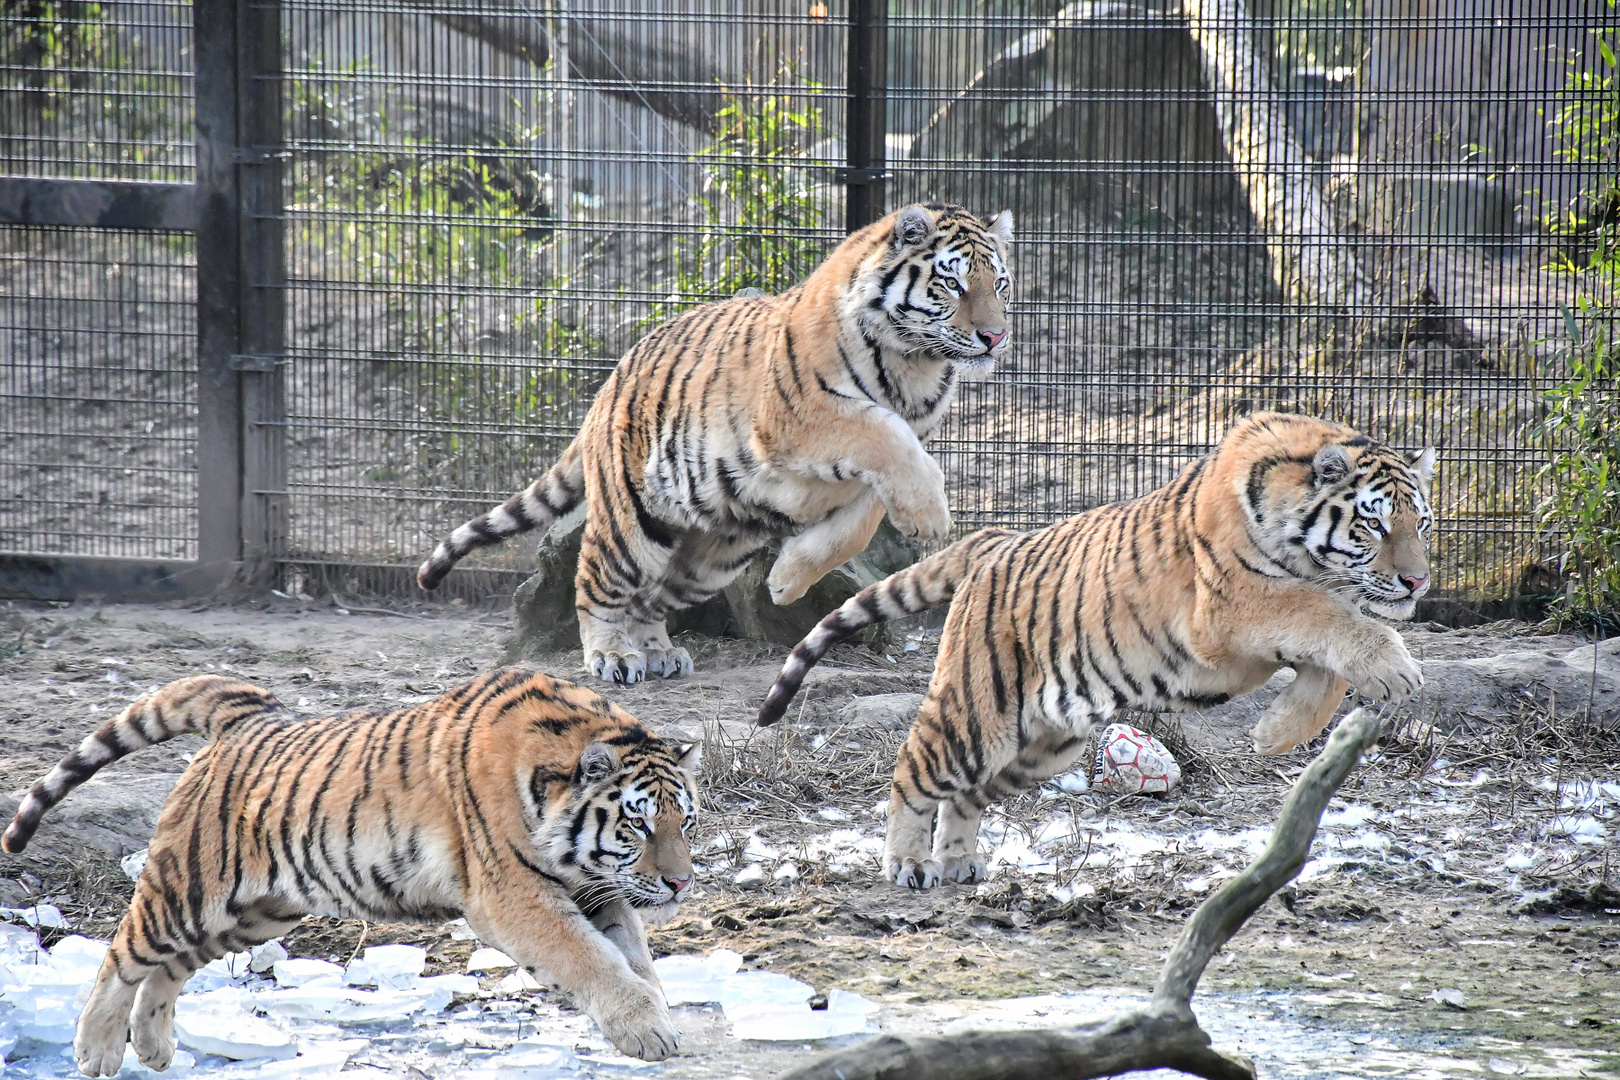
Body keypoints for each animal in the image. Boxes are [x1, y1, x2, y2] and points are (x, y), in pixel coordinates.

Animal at [6, 667, 703, 1075]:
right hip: (189, 888)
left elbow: (631, 955)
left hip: (258, 911)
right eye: (639, 825)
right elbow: (591, 959)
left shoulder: (596, 889)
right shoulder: (516, 895)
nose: (680, 884)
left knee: (170, 968)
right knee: (124, 952)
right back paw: (96, 1049)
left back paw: (153, 1046)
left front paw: (660, 1022)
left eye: (686, 824)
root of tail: (247, 718)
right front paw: (647, 1030)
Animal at [414, 202, 1010, 683]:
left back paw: (658, 652)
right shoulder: (802, 417)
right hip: (632, 526)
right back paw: (611, 655)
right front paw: (931, 516)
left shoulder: (871, 469)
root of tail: (612, 379)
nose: (996, 337)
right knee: (596, 583)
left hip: (716, 555)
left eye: (1000, 286)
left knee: (653, 600)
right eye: (953, 284)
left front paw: (786, 581)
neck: (916, 366)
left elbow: (855, 528)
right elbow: (883, 434)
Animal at [751, 411, 1438, 887]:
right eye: (1375, 524)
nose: (1418, 582)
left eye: (1423, 524)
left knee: (967, 796)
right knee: (911, 769)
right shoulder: (1235, 608)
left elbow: (1330, 657)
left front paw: (1276, 734)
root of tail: (994, 541)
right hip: (975, 719)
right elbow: (1328, 614)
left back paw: (958, 864)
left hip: (1042, 745)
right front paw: (1393, 670)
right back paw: (905, 863)